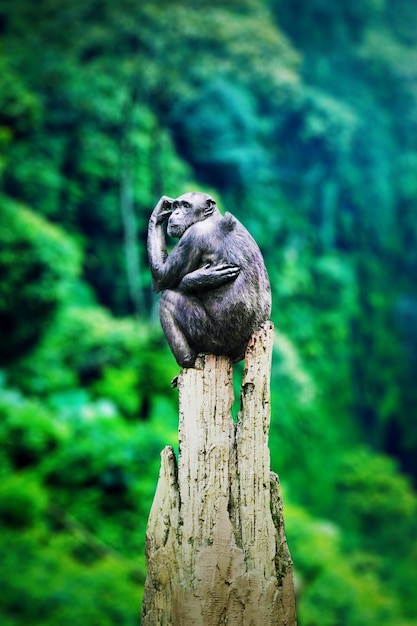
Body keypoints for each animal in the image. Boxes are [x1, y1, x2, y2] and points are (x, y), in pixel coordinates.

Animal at [148, 190, 272, 366]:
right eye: (175, 205)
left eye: (186, 206)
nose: (175, 213)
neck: (210, 218)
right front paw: (159, 212)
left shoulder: (193, 235)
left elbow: (162, 278)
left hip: (211, 338)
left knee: (169, 298)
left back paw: (187, 360)